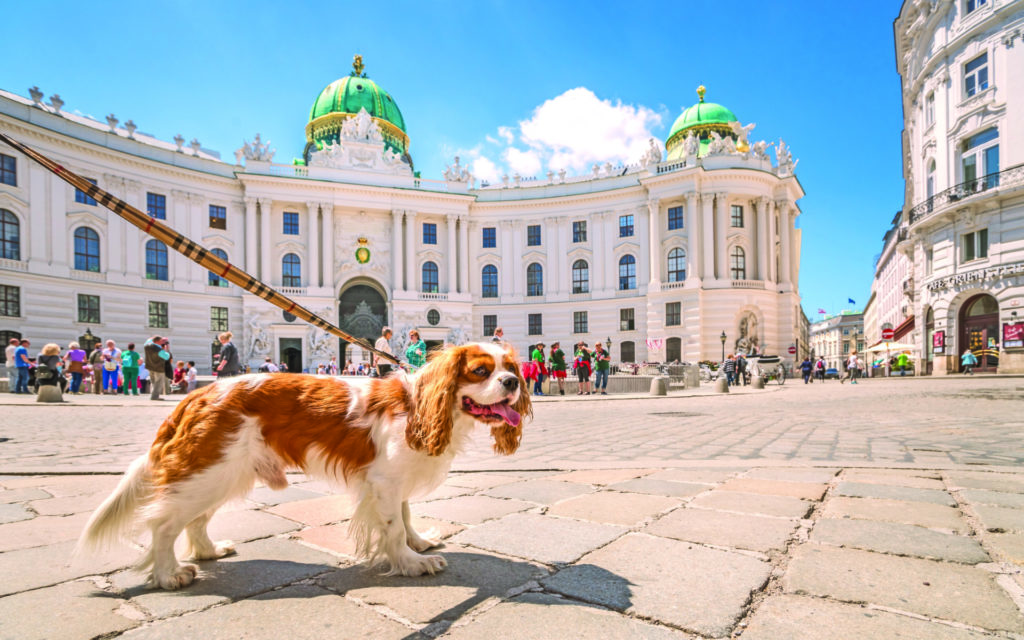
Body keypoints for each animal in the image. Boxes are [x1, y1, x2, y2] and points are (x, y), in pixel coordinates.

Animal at [75, 342, 532, 585]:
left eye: (511, 367)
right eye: (480, 371)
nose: (513, 382)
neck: (422, 406)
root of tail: (197, 394)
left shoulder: (392, 480)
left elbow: (404, 516)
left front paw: (418, 544)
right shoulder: (385, 482)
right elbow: (393, 526)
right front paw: (410, 563)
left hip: (223, 473)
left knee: (195, 520)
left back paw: (208, 551)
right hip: (210, 472)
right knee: (164, 524)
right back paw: (170, 574)